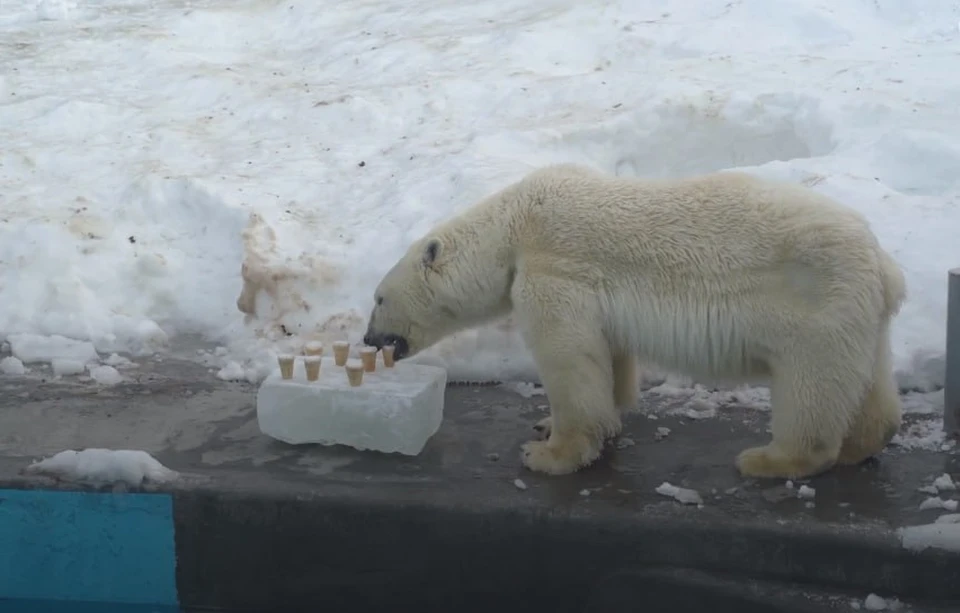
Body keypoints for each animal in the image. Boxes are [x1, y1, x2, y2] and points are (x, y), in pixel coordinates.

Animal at [362, 165, 908, 480]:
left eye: (379, 297)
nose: (368, 339)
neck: (515, 226)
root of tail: (885, 266)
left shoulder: (554, 271)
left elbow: (569, 359)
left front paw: (549, 453)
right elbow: (609, 351)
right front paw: (558, 422)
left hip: (812, 308)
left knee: (809, 390)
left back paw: (767, 459)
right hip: (855, 315)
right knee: (868, 382)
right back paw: (860, 445)